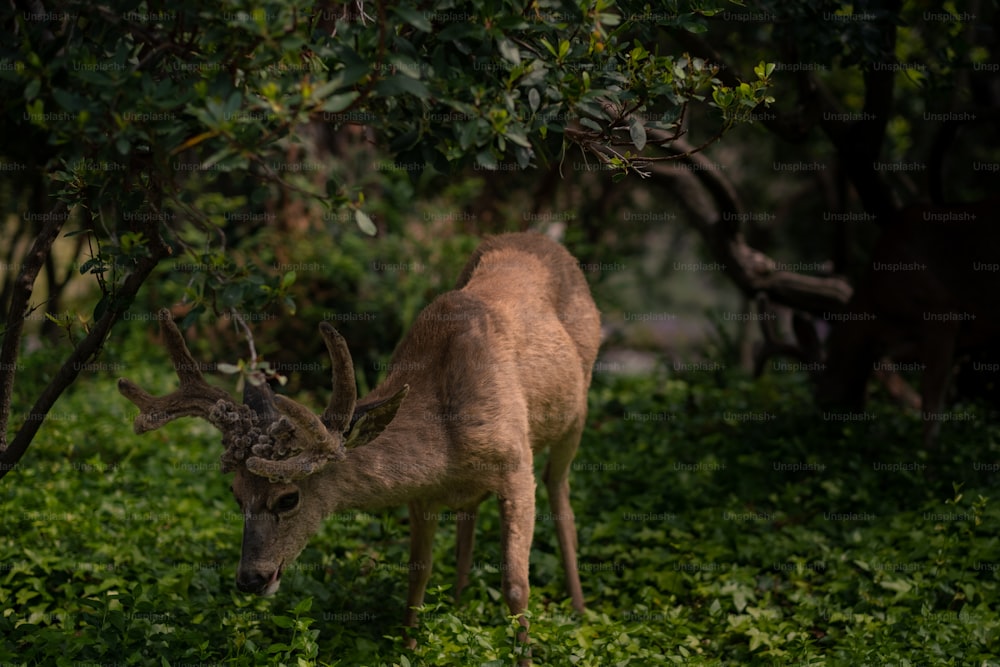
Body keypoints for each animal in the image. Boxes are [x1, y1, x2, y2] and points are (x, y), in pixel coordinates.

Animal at [117, 232, 600, 660]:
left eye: (288, 497)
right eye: (236, 495)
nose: (250, 579)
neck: (447, 439)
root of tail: (547, 240)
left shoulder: (516, 467)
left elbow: (516, 584)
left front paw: (524, 655)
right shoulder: (423, 492)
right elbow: (417, 574)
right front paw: (409, 647)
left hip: (576, 413)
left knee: (560, 494)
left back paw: (580, 611)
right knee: (470, 514)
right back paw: (460, 601)